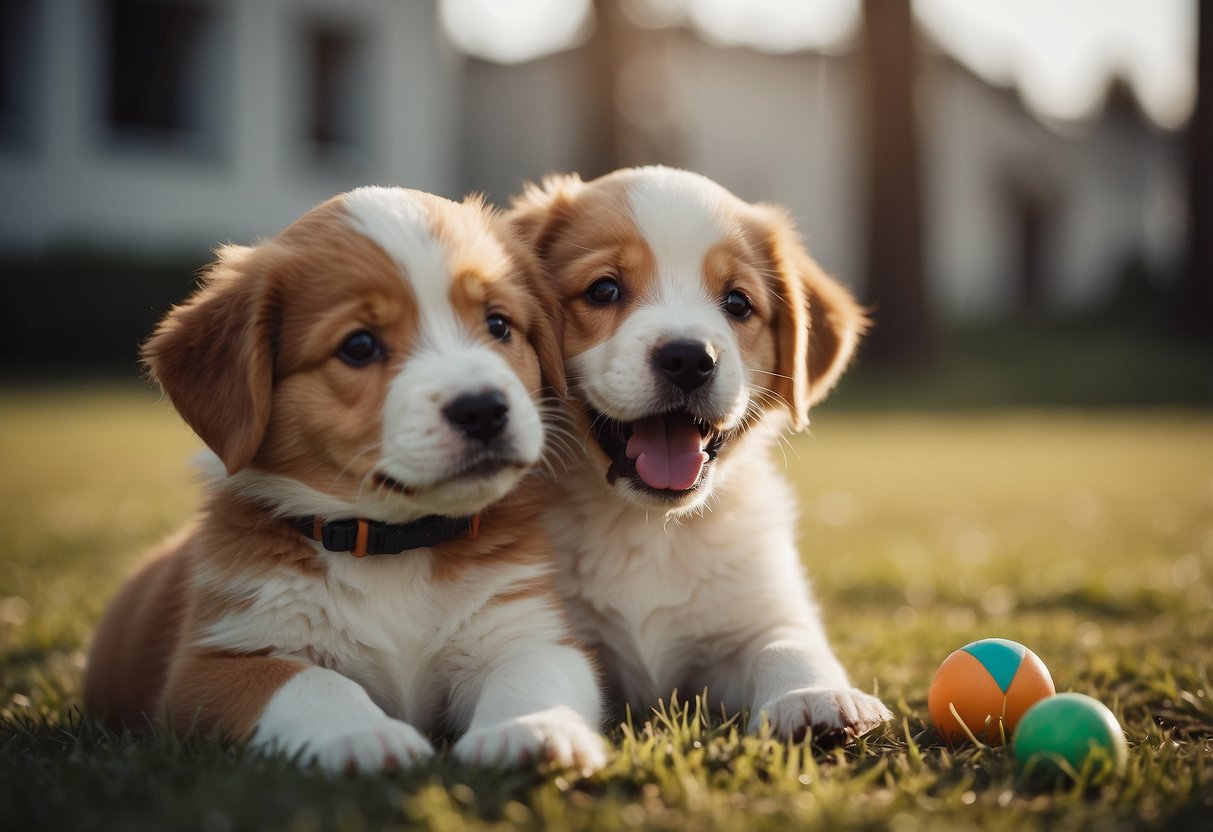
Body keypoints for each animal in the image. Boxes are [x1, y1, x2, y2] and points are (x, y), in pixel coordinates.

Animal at [83, 187, 604, 776]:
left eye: (498, 325)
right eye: (359, 346)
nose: (484, 410)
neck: (395, 547)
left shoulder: (528, 629)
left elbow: (530, 674)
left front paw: (531, 730)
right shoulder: (216, 663)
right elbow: (310, 682)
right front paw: (364, 735)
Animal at [507, 166, 897, 742]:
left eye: (737, 303)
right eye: (604, 289)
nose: (689, 358)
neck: (646, 529)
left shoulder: (758, 609)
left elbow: (789, 642)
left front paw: (814, 696)